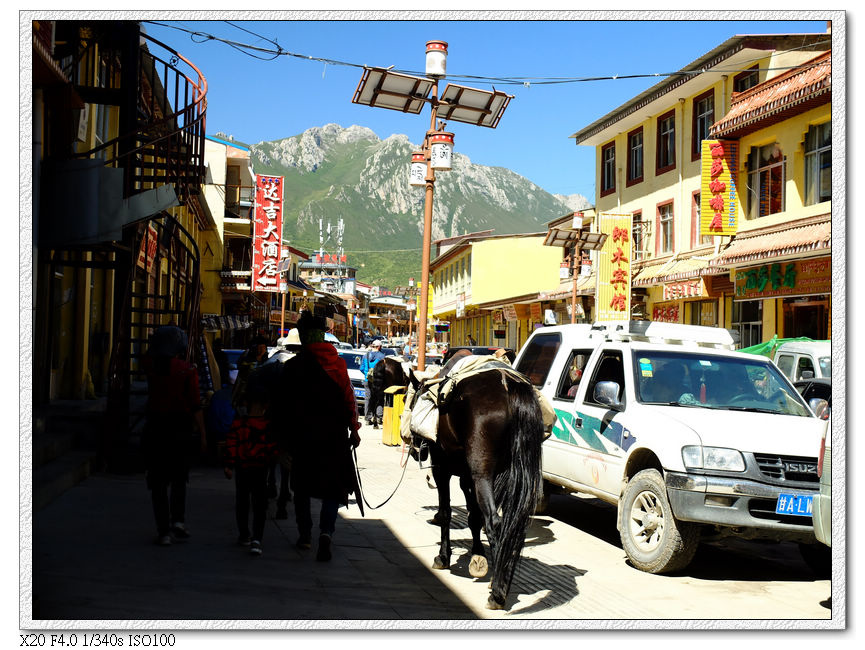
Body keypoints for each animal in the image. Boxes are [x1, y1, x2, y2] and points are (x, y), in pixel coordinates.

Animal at [370, 354, 544, 608]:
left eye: (411, 401)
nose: (413, 446)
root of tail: (509, 385)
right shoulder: (467, 476)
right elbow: (473, 516)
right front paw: (478, 557)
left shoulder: (443, 469)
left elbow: (446, 512)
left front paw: (444, 557)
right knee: (514, 524)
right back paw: (502, 579)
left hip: (482, 475)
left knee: (495, 523)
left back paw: (498, 592)